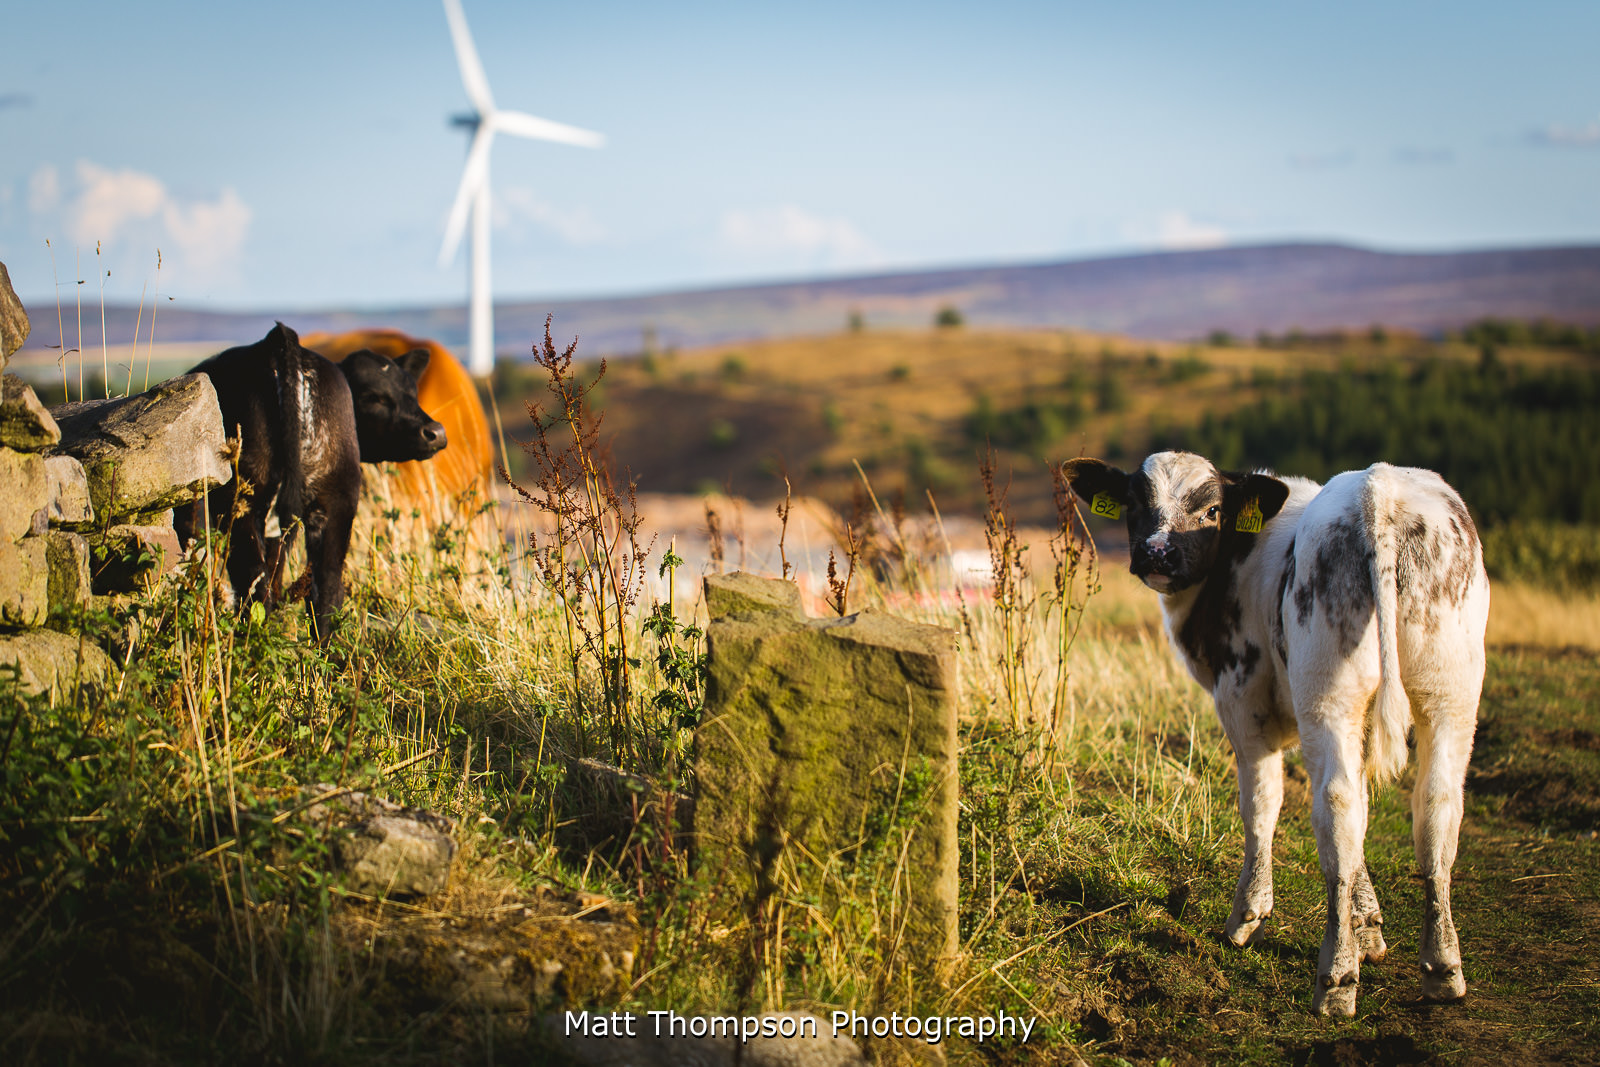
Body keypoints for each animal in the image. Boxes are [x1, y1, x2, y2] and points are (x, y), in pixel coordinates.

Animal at [175, 323, 447, 638]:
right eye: (373, 397)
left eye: (412, 393)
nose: (436, 432)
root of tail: (280, 340)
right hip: (337, 496)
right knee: (324, 589)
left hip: (243, 504)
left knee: (254, 587)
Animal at [1063, 451, 1490, 1016]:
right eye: (1133, 502)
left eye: (1212, 510)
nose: (1157, 553)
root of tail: (1380, 488)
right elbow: (1364, 815)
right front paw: (1368, 927)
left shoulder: (1242, 702)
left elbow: (1261, 805)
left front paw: (1249, 912)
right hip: (1449, 690)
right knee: (1434, 805)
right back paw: (1442, 966)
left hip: (1326, 691)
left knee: (1335, 806)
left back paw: (1335, 978)